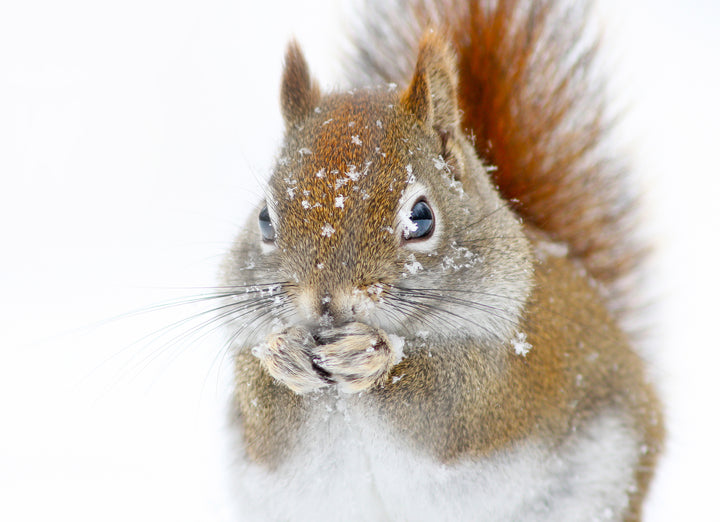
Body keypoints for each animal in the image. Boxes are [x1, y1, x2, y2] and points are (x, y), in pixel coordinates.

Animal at [220, 0, 664, 520]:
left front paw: (373, 354)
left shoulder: (502, 383)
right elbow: (265, 418)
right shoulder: (263, 436)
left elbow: (448, 405)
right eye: (264, 220)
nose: (326, 301)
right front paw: (282, 354)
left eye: (421, 217)